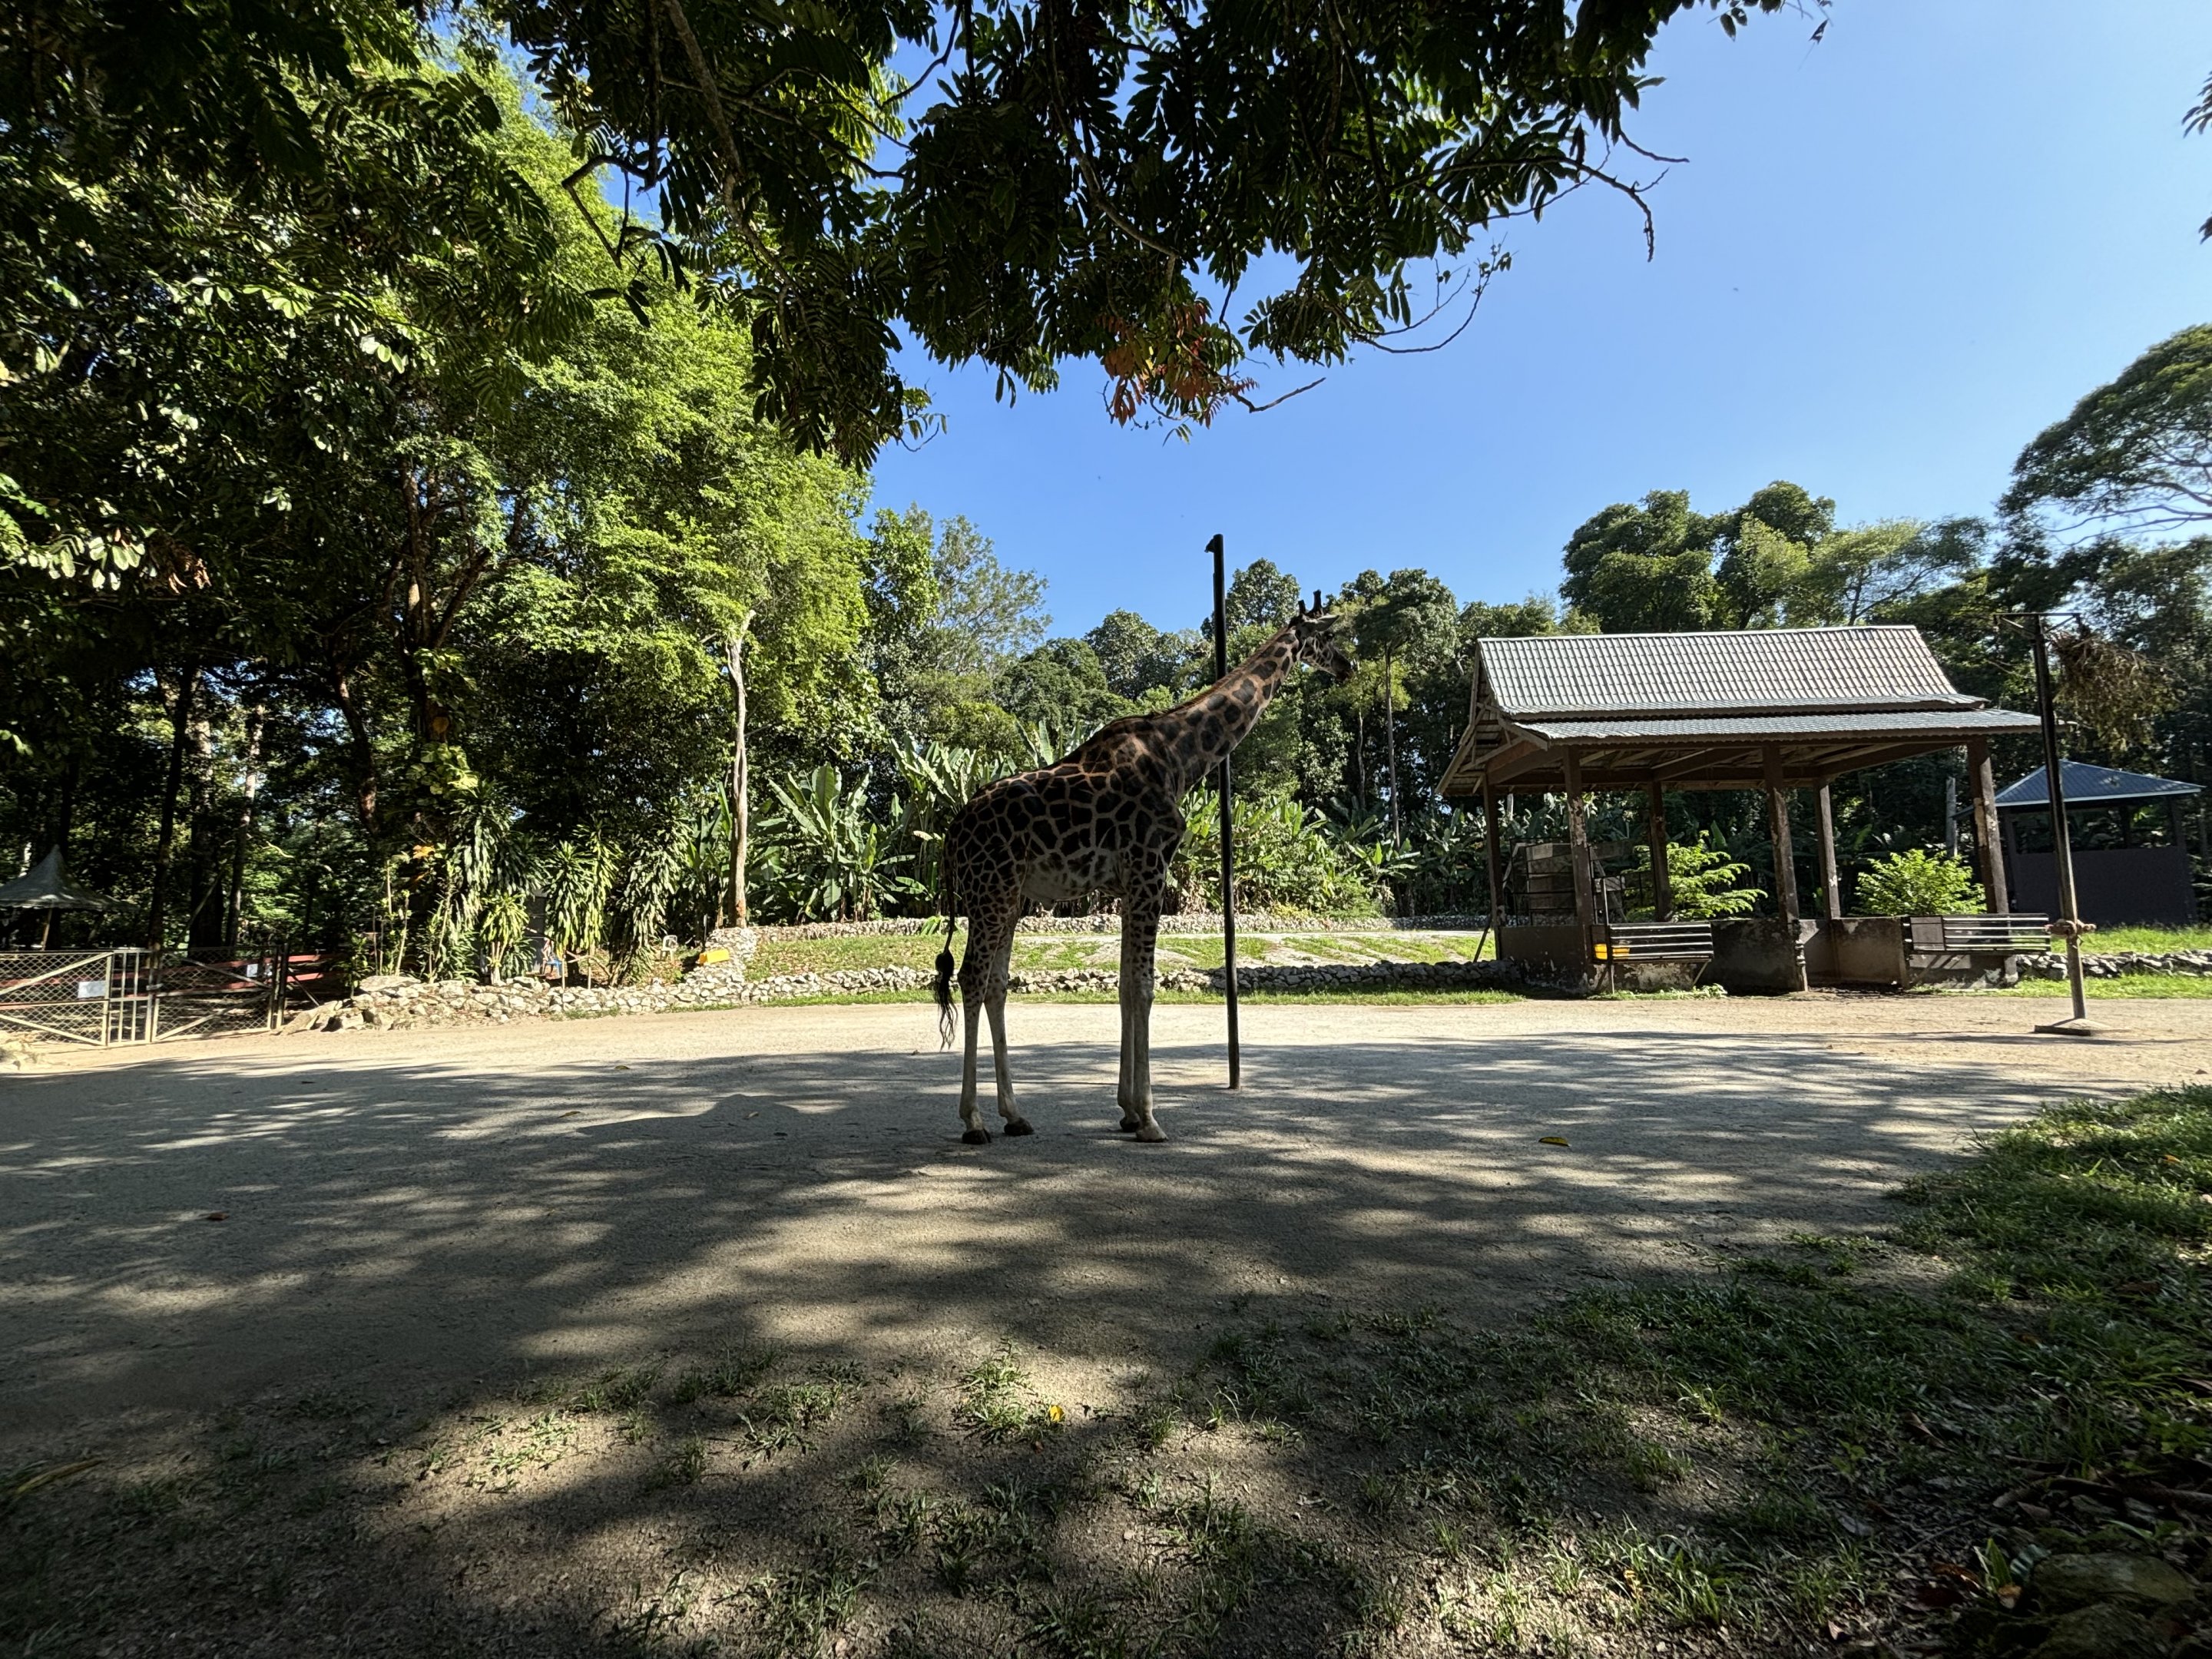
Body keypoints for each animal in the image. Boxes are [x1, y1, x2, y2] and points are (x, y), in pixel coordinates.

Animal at [931, 597, 1354, 1144]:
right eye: (1329, 637)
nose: (1348, 667)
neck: (1182, 755)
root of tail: (951, 834)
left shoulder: (1131, 882)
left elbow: (1126, 987)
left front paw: (1129, 1111)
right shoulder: (1151, 869)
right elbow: (1145, 985)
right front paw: (1150, 1118)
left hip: (1012, 897)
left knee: (996, 984)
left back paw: (1015, 1115)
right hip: (991, 889)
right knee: (971, 977)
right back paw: (974, 1121)